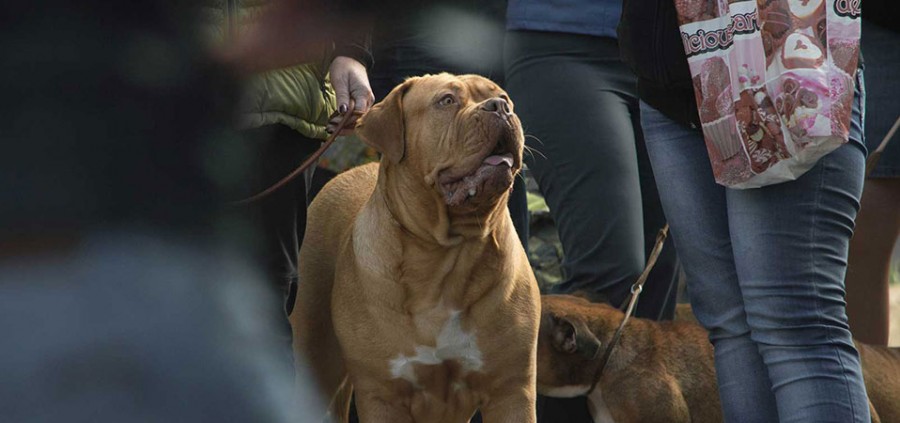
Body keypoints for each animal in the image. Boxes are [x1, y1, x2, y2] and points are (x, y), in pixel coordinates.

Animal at [292, 74, 536, 422]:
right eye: (446, 101)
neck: (446, 252)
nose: (500, 108)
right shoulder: (384, 394)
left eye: (504, 98)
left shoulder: (511, 389)